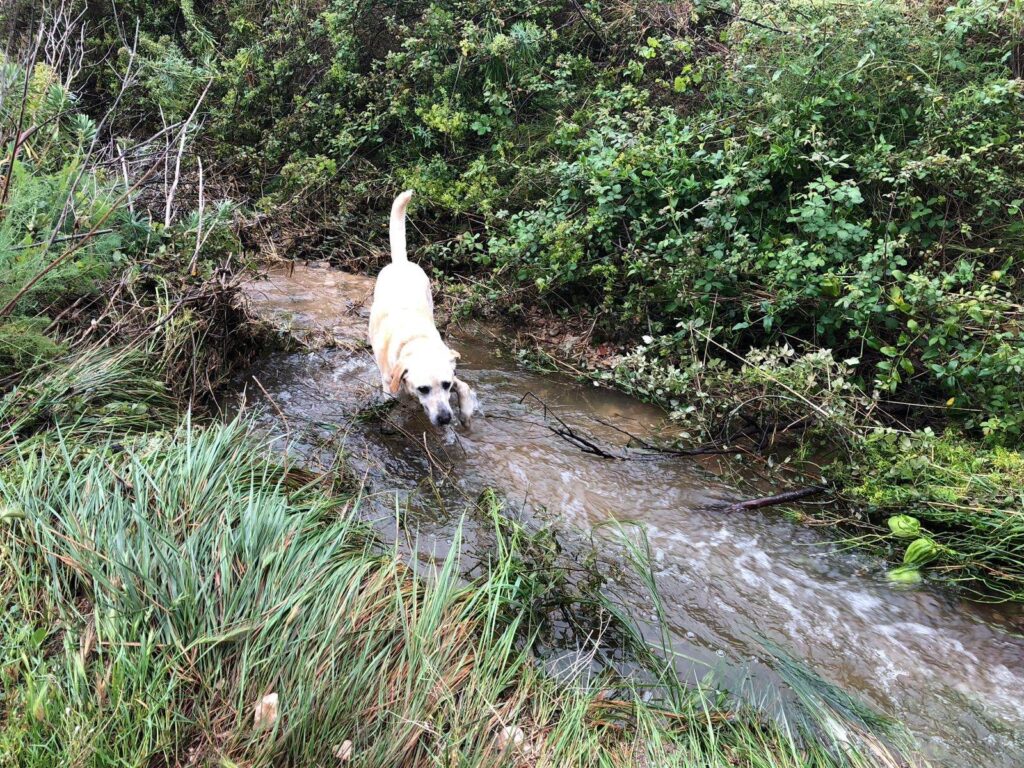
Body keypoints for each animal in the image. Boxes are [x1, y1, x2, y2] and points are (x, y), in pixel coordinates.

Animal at [370, 191, 477, 430]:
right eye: (423, 389)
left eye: (446, 385)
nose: (445, 418)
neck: (415, 341)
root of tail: (400, 262)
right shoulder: (389, 383)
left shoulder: (451, 373)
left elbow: (463, 386)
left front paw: (466, 412)